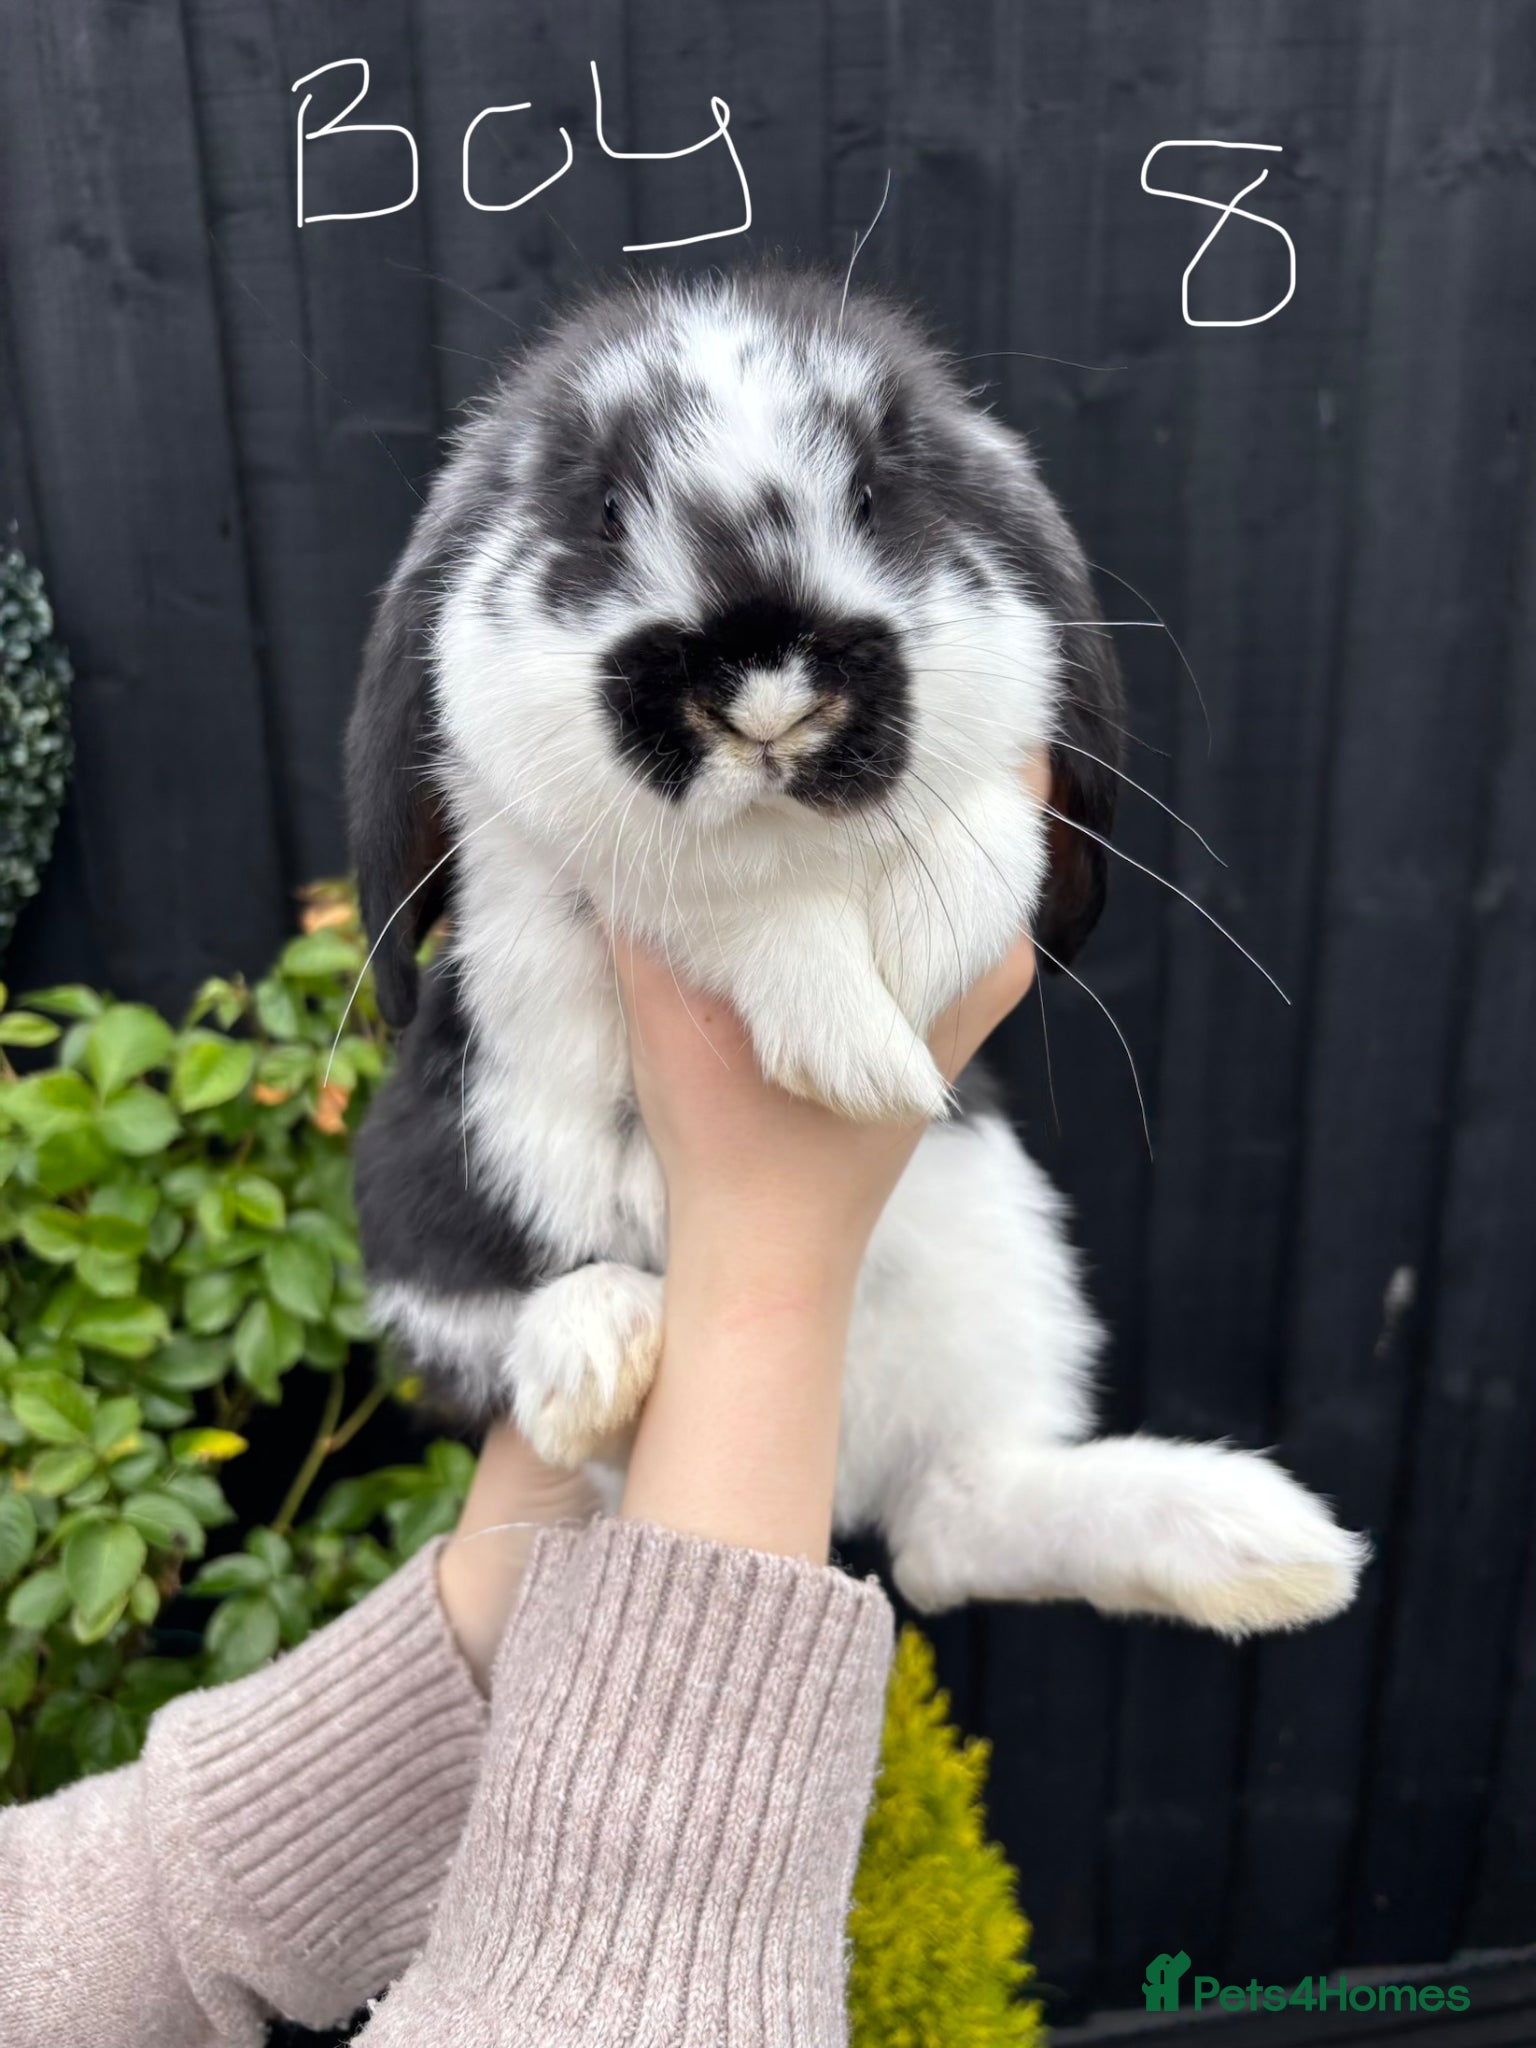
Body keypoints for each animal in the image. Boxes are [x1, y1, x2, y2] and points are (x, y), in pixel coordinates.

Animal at [346, 266, 1366, 1636]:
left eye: (879, 494)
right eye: (603, 508)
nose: (767, 697)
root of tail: (841, 1473)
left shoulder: (1004, 784)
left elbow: (982, 846)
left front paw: (914, 959)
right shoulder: (586, 856)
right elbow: (723, 891)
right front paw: (852, 1045)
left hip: (997, 1260)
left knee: (950, 1529)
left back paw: (1261, 1547)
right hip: (429, 1202)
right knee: (534, 1390)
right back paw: (596, 1341)